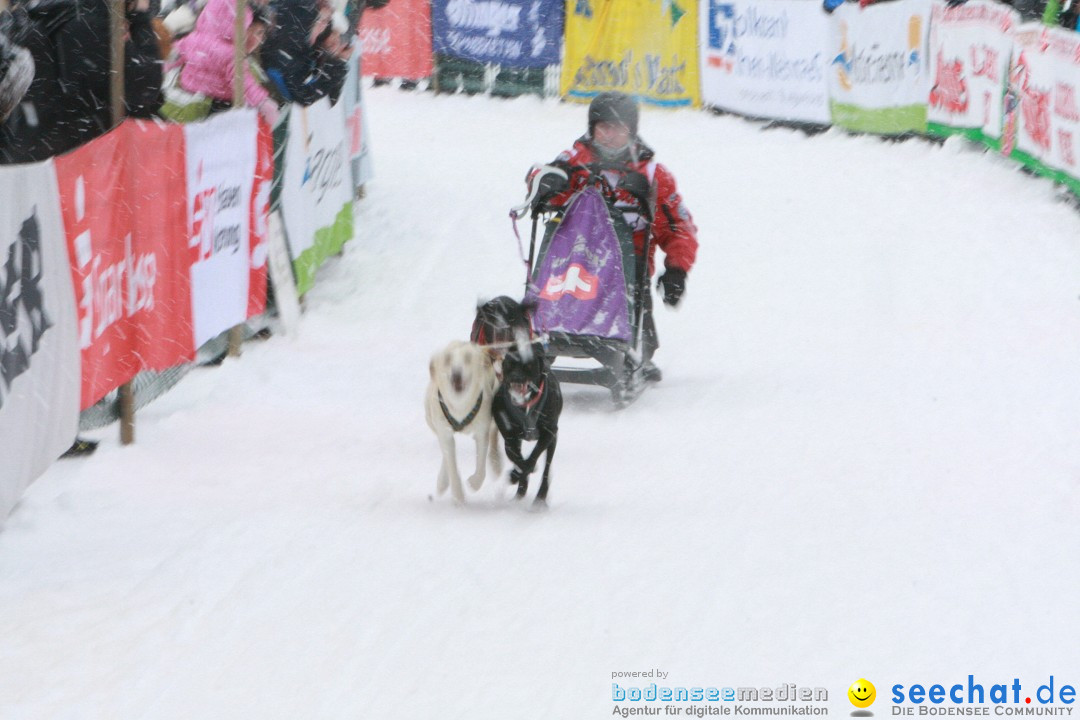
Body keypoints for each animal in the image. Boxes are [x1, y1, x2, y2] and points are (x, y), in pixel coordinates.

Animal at [425, 343, 501, 500]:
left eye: (468, 358)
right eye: (447, 359)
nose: (456, 374)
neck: (460, 406)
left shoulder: (482, 432)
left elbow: (481, 466)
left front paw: (474, 482)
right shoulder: (445, 432)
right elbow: (451, 465)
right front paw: (458, 495)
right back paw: (443, 482)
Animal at [492, 347, 561, 507]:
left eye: (528, 365)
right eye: (510, 364)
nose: (516, 377)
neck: (526, 406)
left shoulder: (549, 432)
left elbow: (533, 458)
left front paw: (517, 474)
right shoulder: (509, 436)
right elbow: (515, 457)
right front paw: (516, 476)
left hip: (553, 439)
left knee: (546, 469)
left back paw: (540, 498)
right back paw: (520, 493)